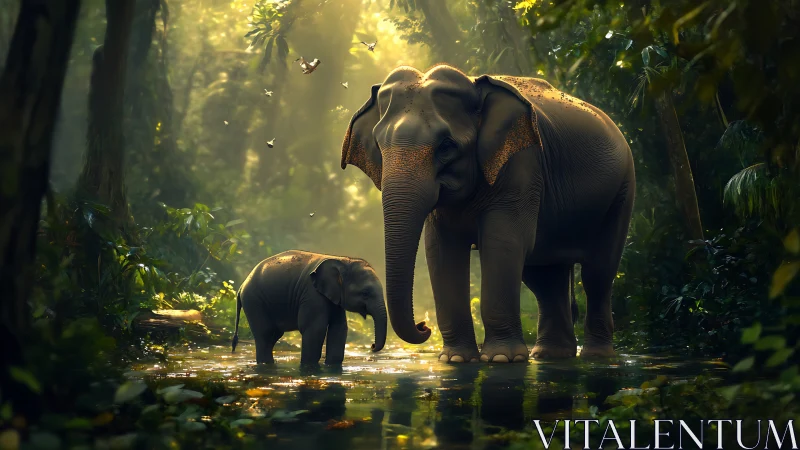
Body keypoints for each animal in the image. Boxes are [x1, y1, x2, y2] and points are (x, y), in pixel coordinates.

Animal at [231, 250, 387, 365]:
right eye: (365, 293)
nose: (372, 345)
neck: (342, 260)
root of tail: (241, 286)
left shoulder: (333, 297)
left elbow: (339, 328)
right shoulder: (312, 294)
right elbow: (315, 328)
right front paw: (309, 368)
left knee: (273, 335)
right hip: (254, 301)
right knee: (265, 334)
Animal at [340, 65, 635, 363]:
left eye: (446, 146)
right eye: (378, 145)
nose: (424, 326)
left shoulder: (521, 163)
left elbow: (502, 243)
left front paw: (502, 359)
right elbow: (441, 250)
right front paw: (455, 359)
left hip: (622, 191)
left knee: (597, 272)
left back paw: (596, 356)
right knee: (544, 277)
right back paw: (551, 355)